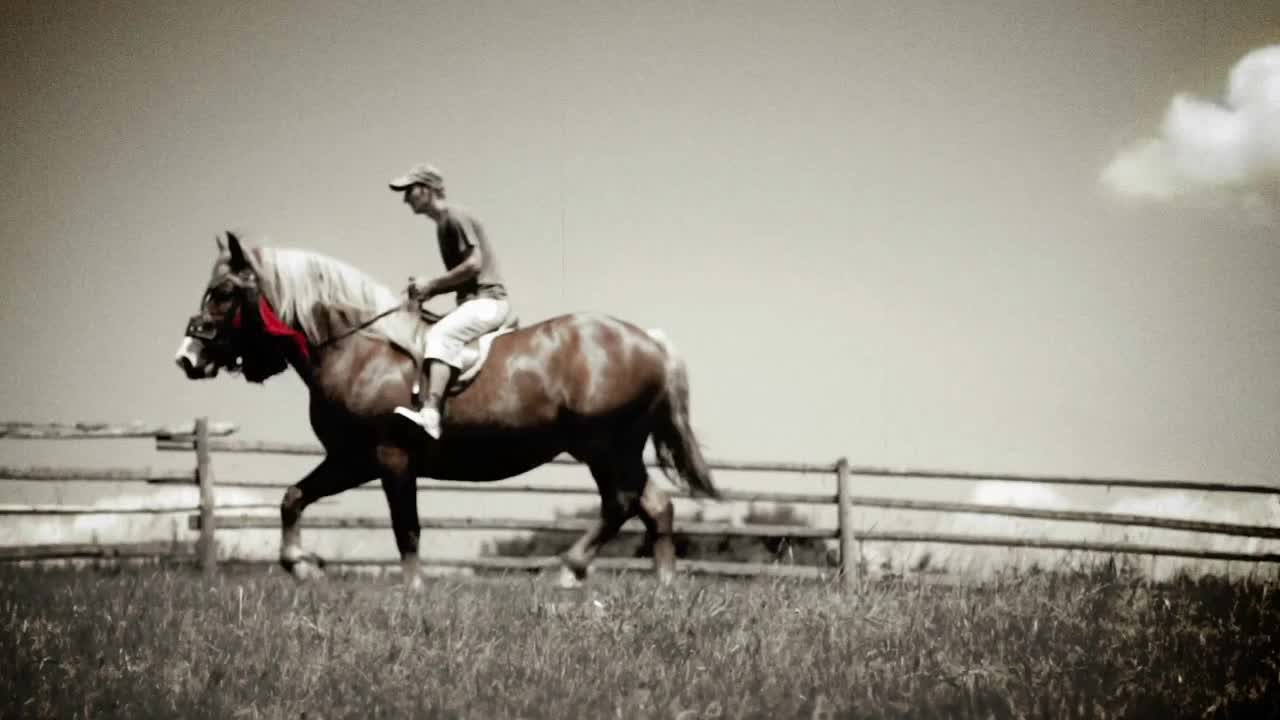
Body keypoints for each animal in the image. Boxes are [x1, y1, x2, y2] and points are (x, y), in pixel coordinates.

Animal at [172, 233, 721, 586]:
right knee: (654, 506)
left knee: (622, 503)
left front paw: (413, 595)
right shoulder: (351, 460)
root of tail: (647, 340)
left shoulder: (391, 458)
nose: (187, 356)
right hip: (615, 450)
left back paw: (570, 570)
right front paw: (301, 564)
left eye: (223, 293)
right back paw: (662, 589)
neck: (357, 349)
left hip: (603, 447)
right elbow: (292, 497)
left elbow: (407, 529)